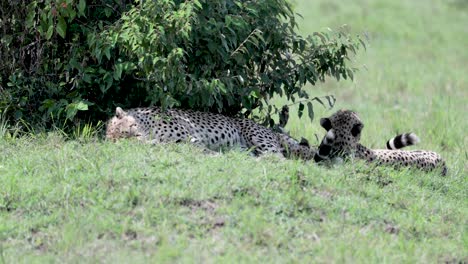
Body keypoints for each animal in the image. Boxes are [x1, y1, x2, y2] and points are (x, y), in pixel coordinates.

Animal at [107, 106, 314, 160]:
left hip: (257, 136)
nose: (142, 138)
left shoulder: (191, 138)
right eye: (128, 139)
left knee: (277, 157)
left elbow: (202, 149)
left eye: (132, 129)